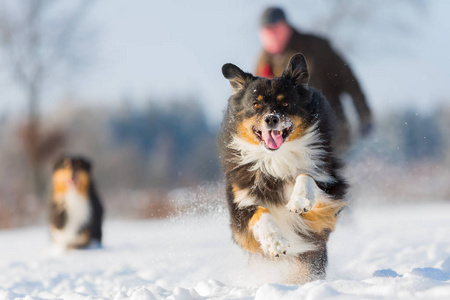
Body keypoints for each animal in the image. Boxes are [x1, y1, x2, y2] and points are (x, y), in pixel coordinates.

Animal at [218, 54, 348, 284]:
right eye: (256, 104)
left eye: (285, 103)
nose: (271, 119)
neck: (275, 159)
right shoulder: (239, 207)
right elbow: (259, 212)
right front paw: (275, 242)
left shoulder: (329, 194)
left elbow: (306, 175)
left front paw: (299, 200)